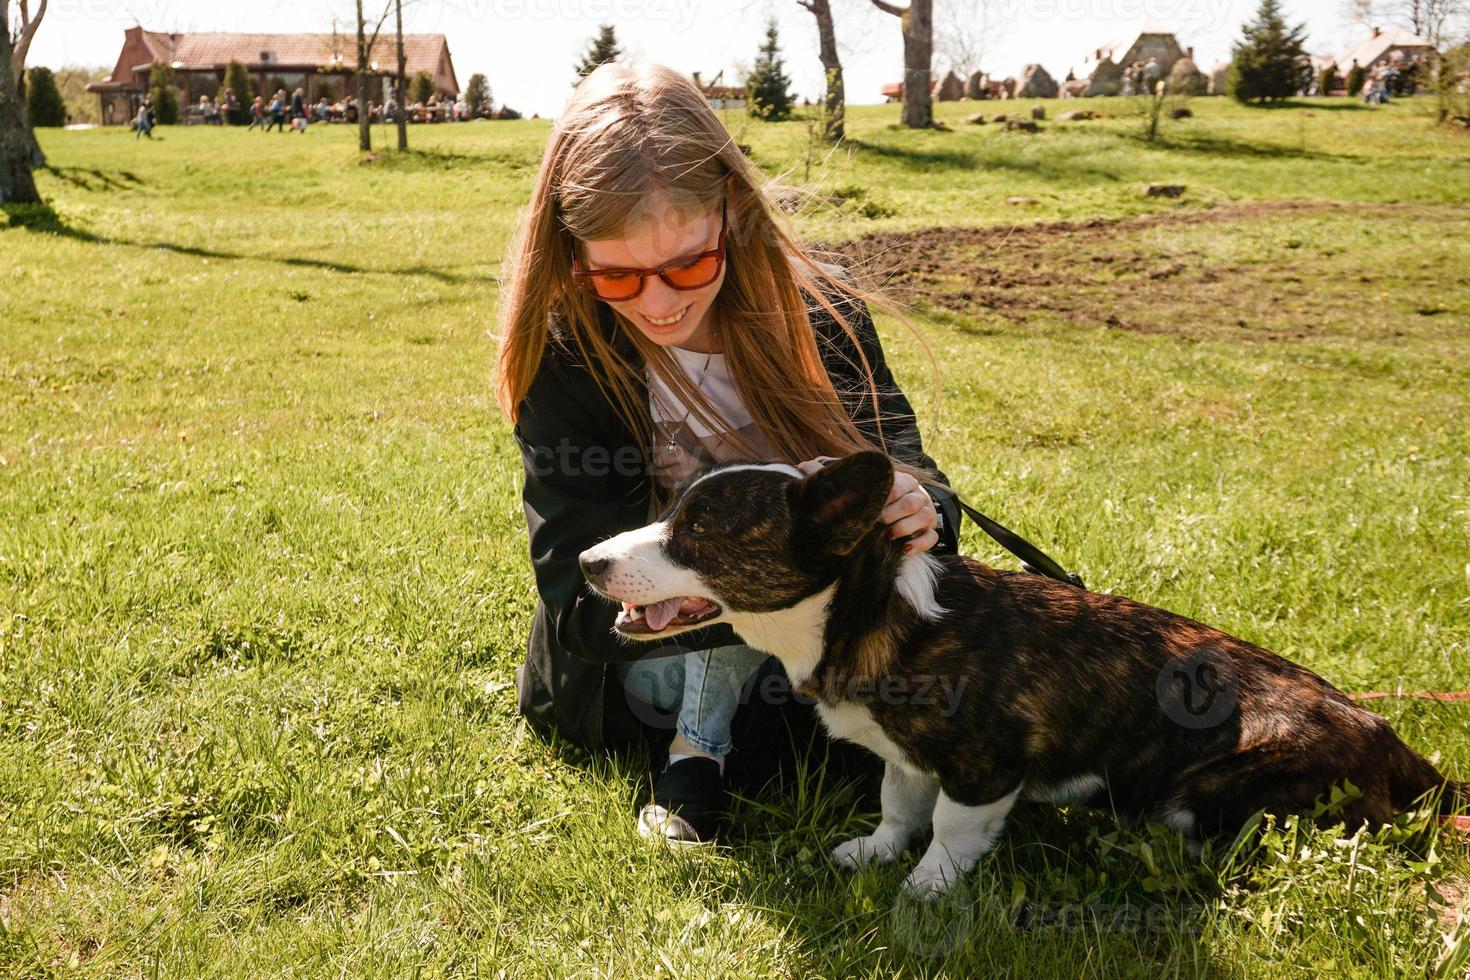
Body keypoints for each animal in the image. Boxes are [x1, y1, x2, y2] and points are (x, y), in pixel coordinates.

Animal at [579, 452, 1464, 899]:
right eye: (670, 511)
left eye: (699, 531)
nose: (587, 562)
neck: (867, 612)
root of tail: (1407, 756)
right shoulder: (906, 759)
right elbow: (899, 807)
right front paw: (872, 853)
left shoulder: (983, 767)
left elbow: (948, 830)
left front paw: (925, 890)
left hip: (1220, 783)